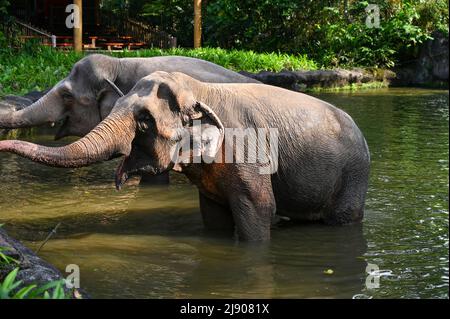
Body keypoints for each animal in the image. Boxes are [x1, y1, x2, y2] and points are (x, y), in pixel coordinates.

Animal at [0, 72, 370, 242]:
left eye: (144, 120)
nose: (2, 145)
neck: (199, 88)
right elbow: (214, 216)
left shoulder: (247, 148)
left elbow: (261, 208)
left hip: (353, 176)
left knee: (343, 219)